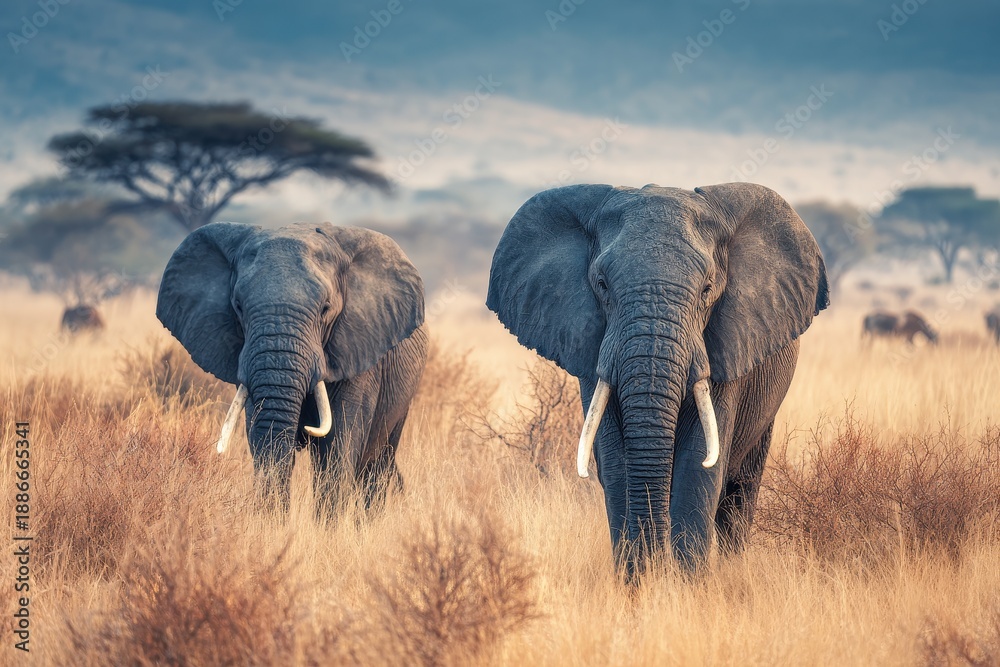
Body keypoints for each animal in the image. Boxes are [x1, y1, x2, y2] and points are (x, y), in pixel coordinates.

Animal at [487, 182, 829, 576]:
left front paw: (683, 585)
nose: (654, 568)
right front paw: (636, 581)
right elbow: (614, 459)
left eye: (707, 289)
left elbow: (699, 464)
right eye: (602, 285)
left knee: (740, 490)